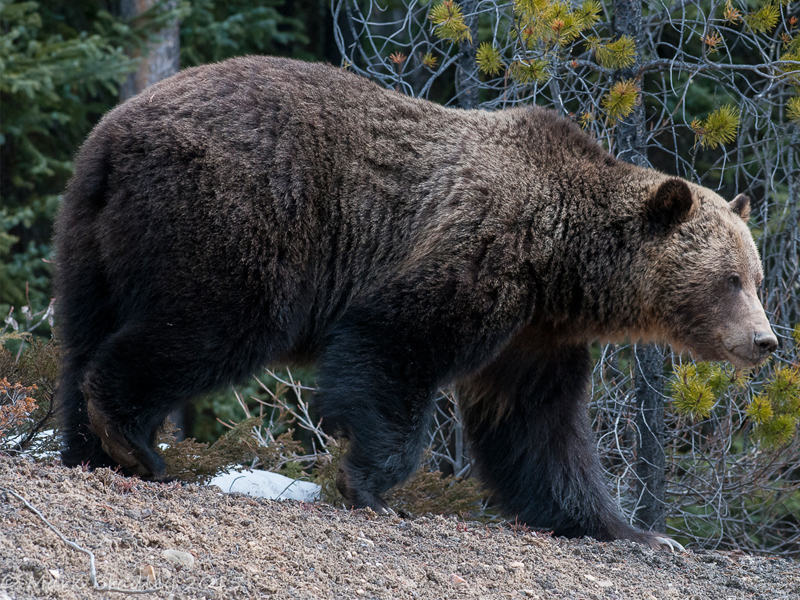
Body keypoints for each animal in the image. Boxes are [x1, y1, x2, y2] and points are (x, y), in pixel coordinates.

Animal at [54, 56, 777, 550]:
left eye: (757, 276)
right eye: (729, 279)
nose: (765, 341)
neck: (562, 265)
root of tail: (114, 136)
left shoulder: (536, 335)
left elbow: (539, 430)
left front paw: (629, 529)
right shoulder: (476, 256)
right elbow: (393, 349)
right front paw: (373, 486)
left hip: (89, 238)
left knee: (83, 334)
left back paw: (89, 447)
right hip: (235, 216)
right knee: (210, 325)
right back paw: (133, 441)